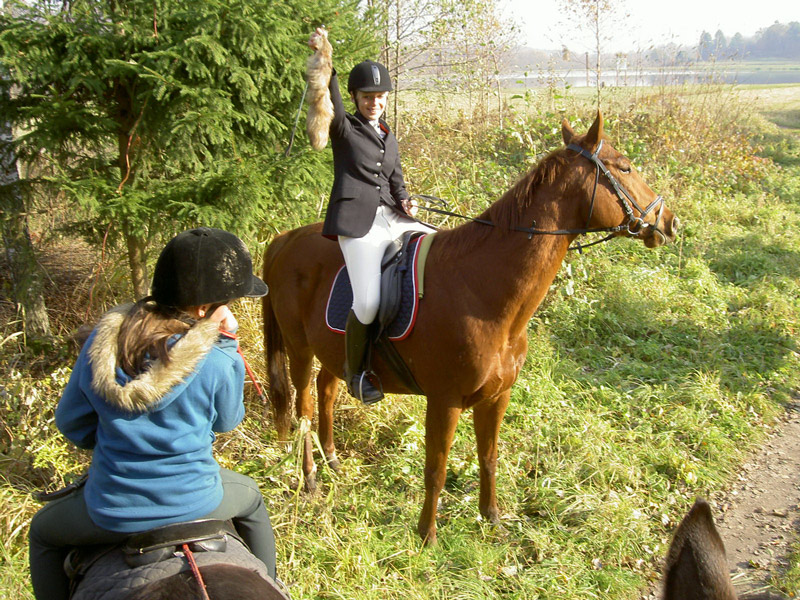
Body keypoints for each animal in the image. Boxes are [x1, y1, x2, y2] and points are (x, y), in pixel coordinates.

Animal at [266, 112, 680, 544]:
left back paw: (332, 460)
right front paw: (427, 535)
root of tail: (286, 239)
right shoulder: (444, 401)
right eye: (625, 167)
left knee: (328, 392)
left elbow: (489, 456)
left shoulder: (497, 396)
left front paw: (491, 517)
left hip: (334, 351)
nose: (668, 221)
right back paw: (311, 478)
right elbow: (436, 469)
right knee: (303, 406)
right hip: (299, 349)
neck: (485, 293)